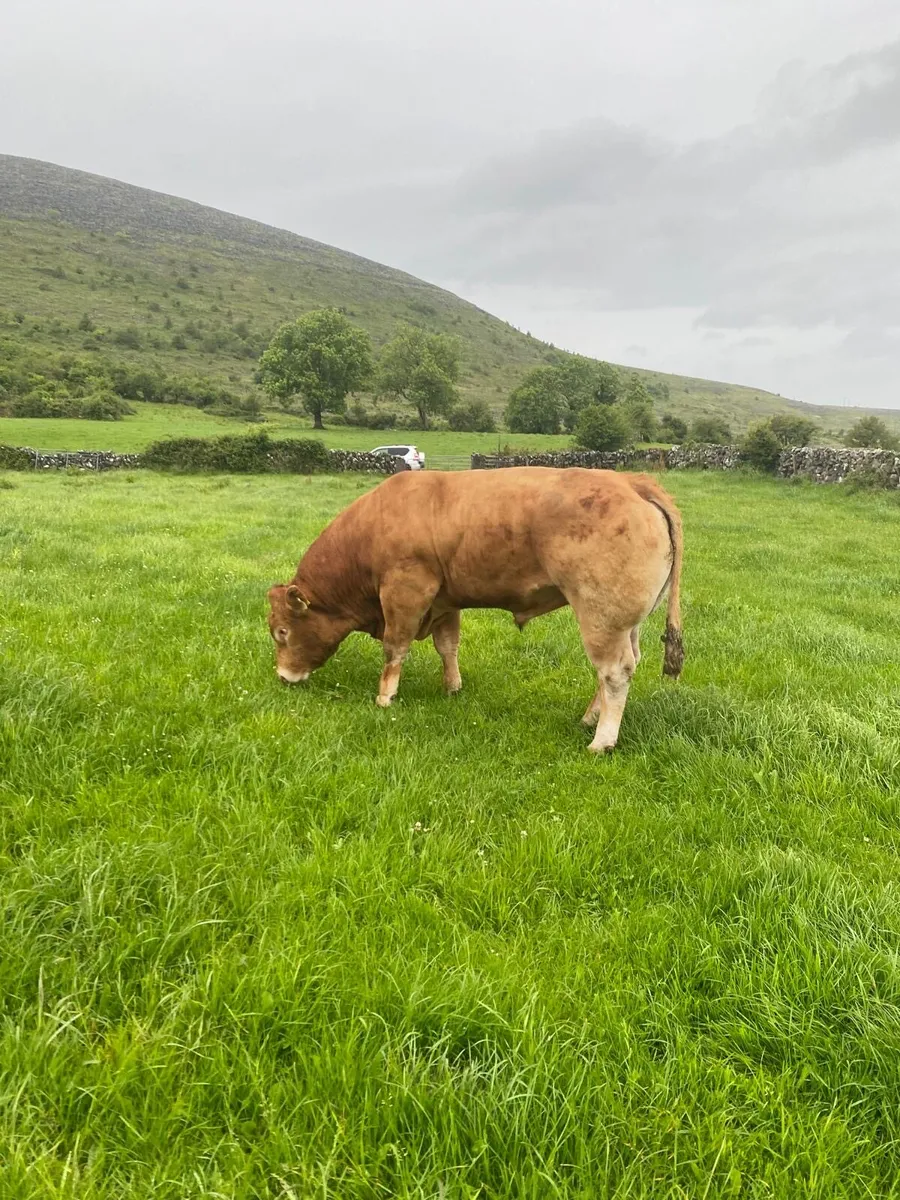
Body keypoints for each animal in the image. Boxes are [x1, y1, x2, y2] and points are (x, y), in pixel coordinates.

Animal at [267, 467, 683, 753]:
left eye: (282, 632)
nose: (283, 677)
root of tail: (631, 481)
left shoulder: (405, 592)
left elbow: (394, 648)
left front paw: (385, 697)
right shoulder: (444, 600)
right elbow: (447, 646)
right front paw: (452, 687)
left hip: (600, 616)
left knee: (614, 672)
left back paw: (601, 740)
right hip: (625, 623)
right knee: (624, 664)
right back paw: (589, 718)